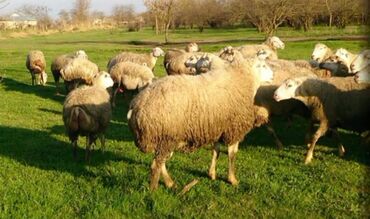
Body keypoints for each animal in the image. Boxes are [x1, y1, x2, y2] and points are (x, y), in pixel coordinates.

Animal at [128, 58, 272, 190]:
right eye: (262, 65)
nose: (272, 76)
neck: (245, 79)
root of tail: (136, 105)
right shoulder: (234, 129)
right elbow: (232, 155)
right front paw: (232, 179)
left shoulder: (218, 127)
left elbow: (216, 151)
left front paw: (212, 174)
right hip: (166, 136)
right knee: (156, 164)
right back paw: (154, 189)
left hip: (162, 138)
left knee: (159, 162)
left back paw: (169, 183)